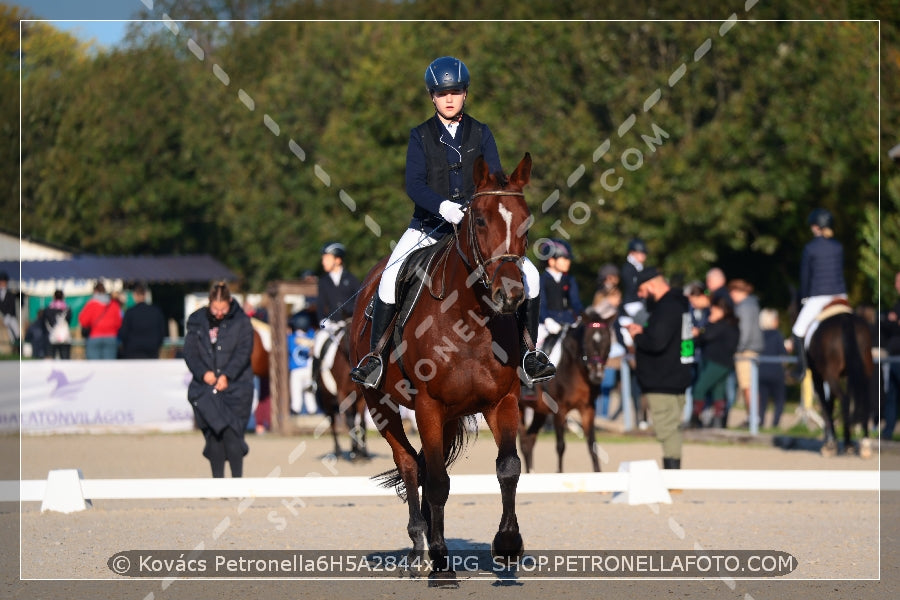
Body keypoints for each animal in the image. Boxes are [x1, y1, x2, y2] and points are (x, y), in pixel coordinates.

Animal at [350, 152, 536, 576]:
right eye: (479, 219)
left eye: (525, 219)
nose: (511, 295)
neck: (468, 318)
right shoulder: (428, 406)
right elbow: (434, 481)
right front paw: (439, 561)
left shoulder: (502, 401)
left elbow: (508, 468)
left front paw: (508, 544)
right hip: (380, 405)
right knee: (410, 464)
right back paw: (421, 549)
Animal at [516, 310, 616, 474]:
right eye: (586, 342)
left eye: (608, 342)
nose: (597, 376)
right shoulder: (560, 410)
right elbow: (560, 446)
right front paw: (559, 473)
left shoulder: (588, 409)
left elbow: (592, 446)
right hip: (519, 407)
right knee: (524, 442)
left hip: (540, 410)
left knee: (530, 439)